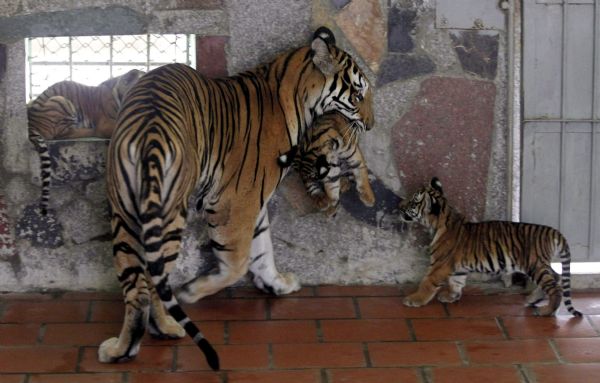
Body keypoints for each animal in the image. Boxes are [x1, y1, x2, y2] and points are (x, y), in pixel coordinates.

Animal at [398, 177, 580, 318]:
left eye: (413, 201)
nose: (400, 205)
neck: (439, 221)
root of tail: (553, 231)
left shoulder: (439, 265)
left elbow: (427, 282)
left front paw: (414, 299)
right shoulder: (457, 267)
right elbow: (456, 281)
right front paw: (451, 296)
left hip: (534, 265)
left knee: (555, 287)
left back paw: (546, 311)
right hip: (541, 265)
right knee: (556, 277)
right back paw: (532, 300)